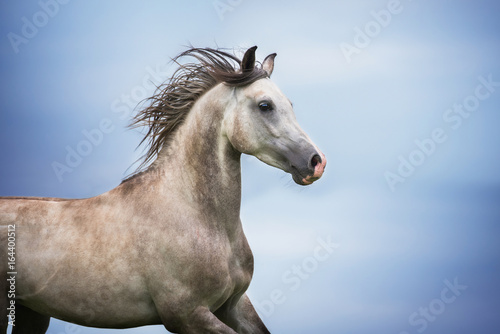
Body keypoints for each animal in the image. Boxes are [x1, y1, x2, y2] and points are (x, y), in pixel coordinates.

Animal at [0, 45, 326, 332]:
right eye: (265, 106)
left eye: (290, 105)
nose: (316, 162)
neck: (198, 217)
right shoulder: (186, 315)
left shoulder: (234, 306)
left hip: (32, 313)